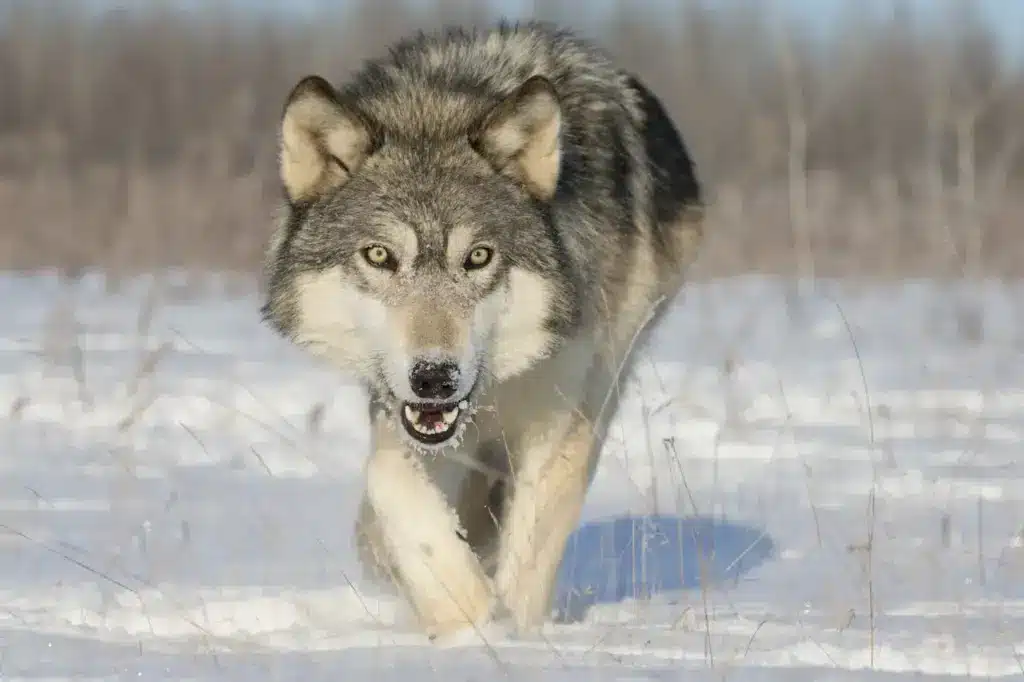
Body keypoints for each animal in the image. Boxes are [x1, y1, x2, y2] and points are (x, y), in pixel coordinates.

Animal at [260, 19, 704, 638]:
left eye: (477, 257)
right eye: (379, 256)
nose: (434, 378)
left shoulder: (559, 421)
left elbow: (528, 559)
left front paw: (503, 634)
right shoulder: (398, 418)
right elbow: (392, 488)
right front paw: (463, 615)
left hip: (609, 377)